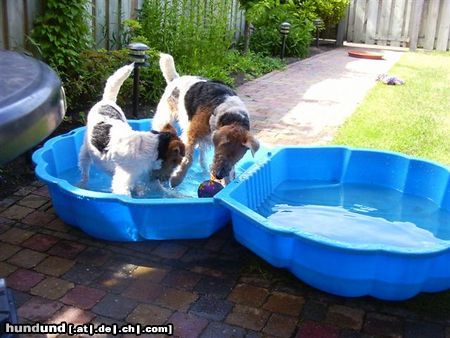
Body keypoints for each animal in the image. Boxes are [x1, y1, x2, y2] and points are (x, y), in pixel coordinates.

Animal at [78, 63, 185, 195]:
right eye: (175, 161)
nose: (170, 182)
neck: (154, 147)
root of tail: (106, 101)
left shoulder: (148, 177)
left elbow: (161, 191)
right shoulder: (123, 182)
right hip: (84, 153)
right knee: (84, 173)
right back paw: (81, 185)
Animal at [151, 52, 258, 187]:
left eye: (238, 157)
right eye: (221, 150)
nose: (218, 175)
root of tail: (175, 79)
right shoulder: (191, 136)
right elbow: (188, 160)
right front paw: (176, 179)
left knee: (201, 155)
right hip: (165, 119)